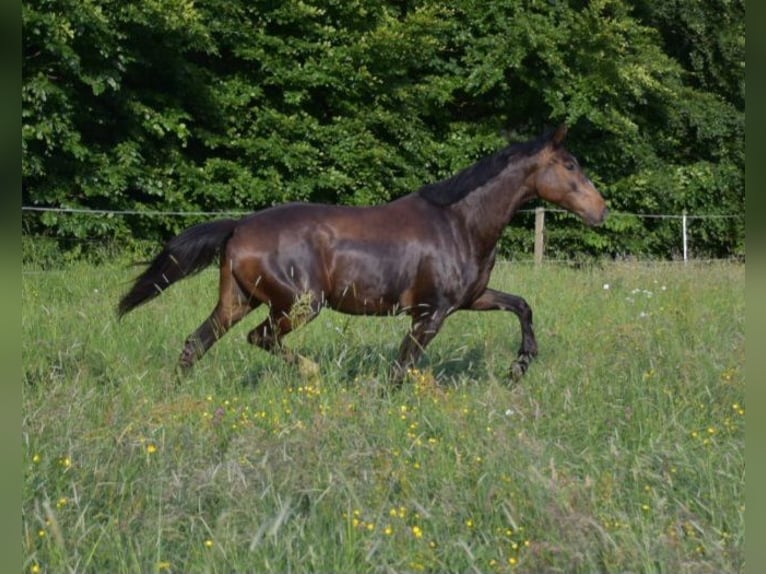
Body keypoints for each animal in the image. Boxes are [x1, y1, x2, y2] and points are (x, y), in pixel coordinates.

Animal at [117, 126, 608, 388]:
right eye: (569, 166)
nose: (601, 210)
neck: (459, 223)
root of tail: (239, 226)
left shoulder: (470, 299)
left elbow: (522, 305)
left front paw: (520, 364)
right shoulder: (430, 313)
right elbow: (401, 367)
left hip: (237, 301)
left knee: (195, 343)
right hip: (299, 305)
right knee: (261, 338)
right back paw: (311, 371)